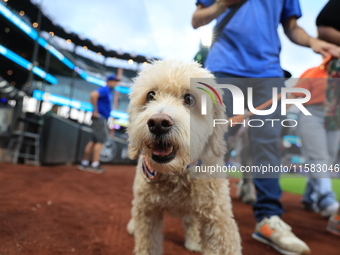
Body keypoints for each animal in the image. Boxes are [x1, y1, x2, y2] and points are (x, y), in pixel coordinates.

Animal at [127, 60, 242, 255]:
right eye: (150, 95)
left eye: (189, 99)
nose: (158, 123)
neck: (177, 172)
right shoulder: (148, 211)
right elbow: (147, 242)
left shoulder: (218, 219)